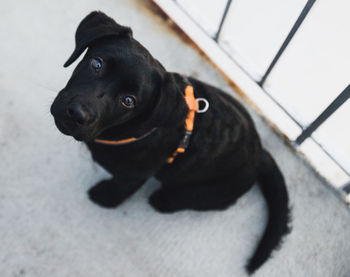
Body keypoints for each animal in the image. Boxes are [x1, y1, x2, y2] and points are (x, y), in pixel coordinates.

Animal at [49, 11, 290, 274]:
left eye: (129, 101)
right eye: (96, 64)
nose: (77, 114)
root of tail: (260, 152)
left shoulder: (134, 175)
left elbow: (120, 188)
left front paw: (104, 197)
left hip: (212, 191)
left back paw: (164, 200)